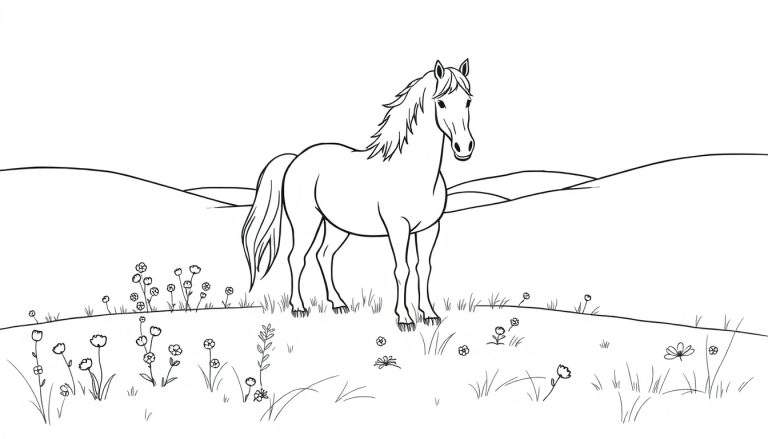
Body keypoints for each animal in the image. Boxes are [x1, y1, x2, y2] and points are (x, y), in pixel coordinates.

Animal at [242, 59, 474, 331]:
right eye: (441, 103)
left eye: (468, 101)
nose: (464, 147)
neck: (413, 173)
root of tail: (296, 158)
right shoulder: (398, 228)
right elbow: (402, 269)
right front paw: (405, 318)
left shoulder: (430, 228)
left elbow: (424, 269)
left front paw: (429, 314)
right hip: (306, 222)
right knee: (297, 258)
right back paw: (299, 307)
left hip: (337, 226)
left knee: (324, 256)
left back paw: (339, 304)